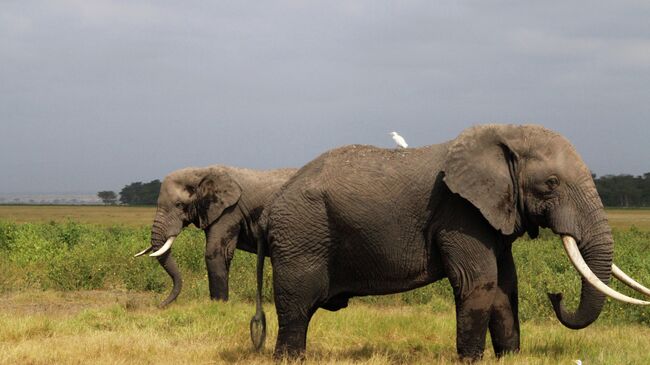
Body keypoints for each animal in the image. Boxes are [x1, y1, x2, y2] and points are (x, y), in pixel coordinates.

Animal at [134, 164, 296, 304]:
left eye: (179, 205)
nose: (160, 305)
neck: (200, 172)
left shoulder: (229, 211)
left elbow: (216, 253)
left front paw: (218, 304)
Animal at [252, 123, 648, 360]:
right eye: (550, 184)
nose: (556, 294)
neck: (504, 134)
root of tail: (269, 209)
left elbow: (505, 286)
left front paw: (511, 357)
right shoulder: (460, 213)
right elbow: (479, 283)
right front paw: (471, 359)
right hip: (302, 235)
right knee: (296, 307)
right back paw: (290, 359)